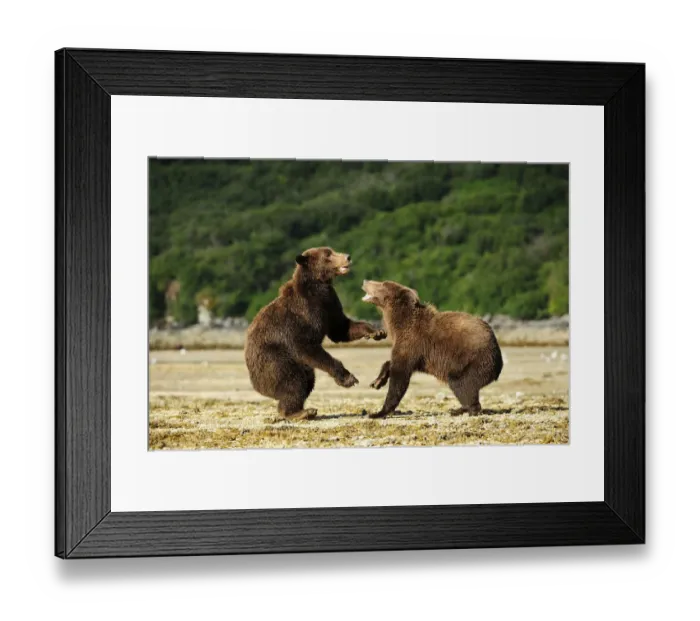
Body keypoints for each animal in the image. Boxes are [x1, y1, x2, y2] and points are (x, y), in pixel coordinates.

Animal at [244, 248, 387, 420]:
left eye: (332, 250)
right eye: (328, 255)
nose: (347, 256)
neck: (318, 287)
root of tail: (255, 383)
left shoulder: (329, 302)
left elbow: (340, 328)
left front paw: (377, 331)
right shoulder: (302, 316)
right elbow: (307, 346)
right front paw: (348, 378)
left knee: (307, 380)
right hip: (272, 359)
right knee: (293, 380)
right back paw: (300, 412)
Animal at [361, 279, 503, 419]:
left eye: (383, 284)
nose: (365, 281)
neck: (398, 324)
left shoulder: (413, 341)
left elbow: (399, 376)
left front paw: (378, 412)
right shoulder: (415, 351)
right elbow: (394, 363)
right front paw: (377, 381)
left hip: (474, 361)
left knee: (461, 383)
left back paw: (469, 409)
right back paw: (458, 409)